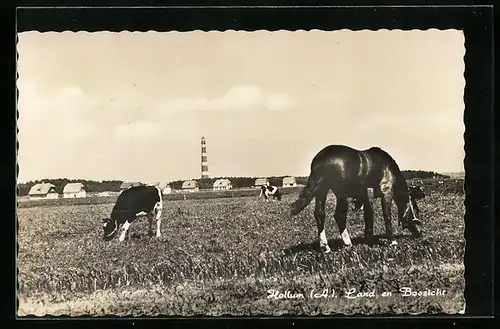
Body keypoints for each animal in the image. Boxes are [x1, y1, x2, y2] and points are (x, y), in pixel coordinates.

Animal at [292, 145, 424, 252]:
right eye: (415, 210)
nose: (419, 233)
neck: (387, 167)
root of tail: (322, 159)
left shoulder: (365, 194)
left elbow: (368, 215)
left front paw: (369, 238)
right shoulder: (386, 192)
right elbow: (386, 216)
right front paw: (392, 241)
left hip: (322, 191)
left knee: (320, 214)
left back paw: (325, 246)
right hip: (341, 193)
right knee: (339, 215)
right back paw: (347, 242)